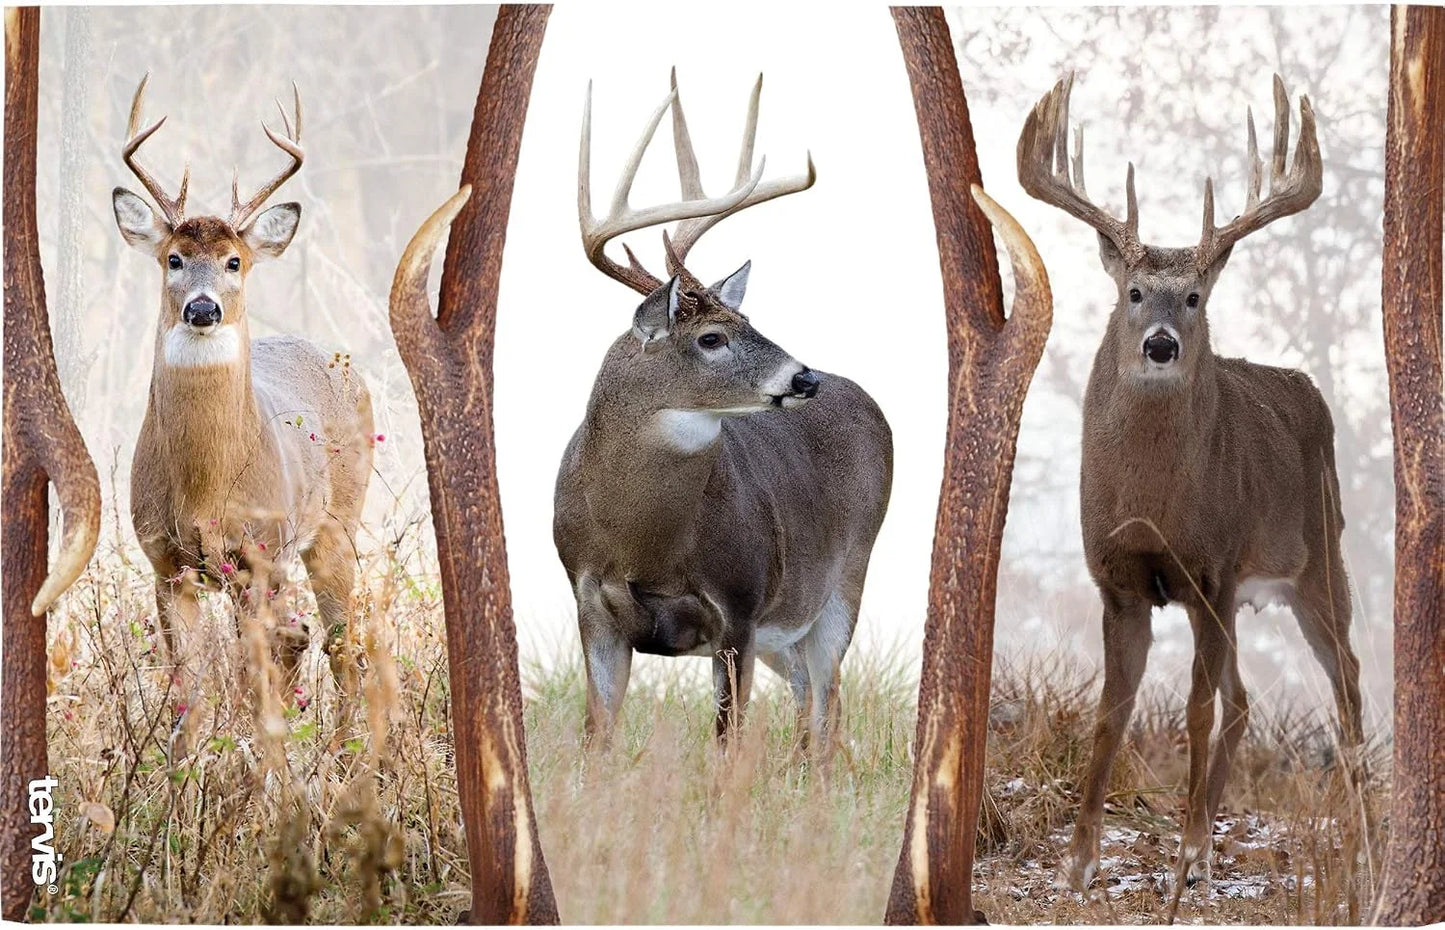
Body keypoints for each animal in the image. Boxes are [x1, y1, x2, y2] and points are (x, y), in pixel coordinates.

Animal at [111, 76, 374, 746]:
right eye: (174, 259)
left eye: (235, 262)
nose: (202, 309)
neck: (205, 489)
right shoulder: (165, 562)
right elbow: (190, 691)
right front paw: (184, 771)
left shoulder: (257, 557)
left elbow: (252, 680)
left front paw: (264, 768)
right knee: (309, 640)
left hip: (336, 527)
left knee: (343, 644)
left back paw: (351, 757)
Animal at [553, 71, 893, 755]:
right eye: (712, 338)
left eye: (749, 319)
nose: (804, 377)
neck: (642, 542)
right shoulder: (589, 601)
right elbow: (597, 735)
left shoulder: (740, 604)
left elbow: (724, 742)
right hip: (785, 632)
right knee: (808, 700)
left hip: (843, 581)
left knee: (829, 705)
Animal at [1018, 74, 1364, 892]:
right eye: (1135, 292)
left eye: (1196, 297)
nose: (1161, 345)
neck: (1152, 512)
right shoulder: (1118, 582)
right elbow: (1110, 714)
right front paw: (1079, 863)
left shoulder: (1209, 570)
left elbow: (1194, 712)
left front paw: (1178, 855)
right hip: (1245, 594)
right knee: (1245, 700)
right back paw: (1210, 846)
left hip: (1315, 558)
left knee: (1347, 678)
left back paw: (1361, 829)